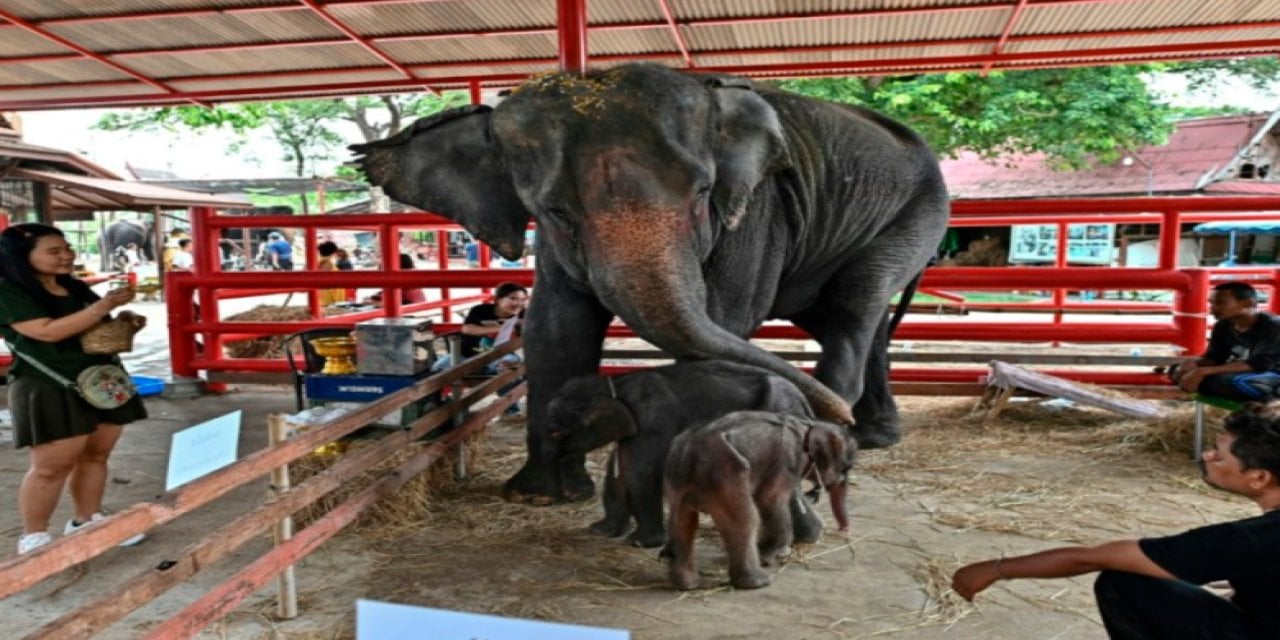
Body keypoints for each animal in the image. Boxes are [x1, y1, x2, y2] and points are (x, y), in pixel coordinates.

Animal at [350, 64, 952, 504]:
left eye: (703, 193)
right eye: (554, 210)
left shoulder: (757, 212)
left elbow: (723, 319)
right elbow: (554, 331)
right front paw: (543, 496)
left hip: (920, 213)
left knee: (854, 307)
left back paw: (839, 440)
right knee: (854, 320)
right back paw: (866, 435)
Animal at [545, 363, 814, 547]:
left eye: (557, 433)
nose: (566, 495)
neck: (616, 383)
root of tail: (803, 399)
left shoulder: (653, 422)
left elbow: (638, 473)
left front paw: (640, 543)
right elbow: (618, 470)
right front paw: (599, 531)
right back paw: (806, 538)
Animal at [665, 412, 855, 591]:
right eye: (846, 468)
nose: (844, 529)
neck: (810, 424)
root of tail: (688, 454)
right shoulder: (787, 459)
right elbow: (770, 499)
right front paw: (769, 557)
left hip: (679, 480)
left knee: (682, 521)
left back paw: (689, 584)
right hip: (726, 476)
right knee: (746, 519)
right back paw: (759, 582)